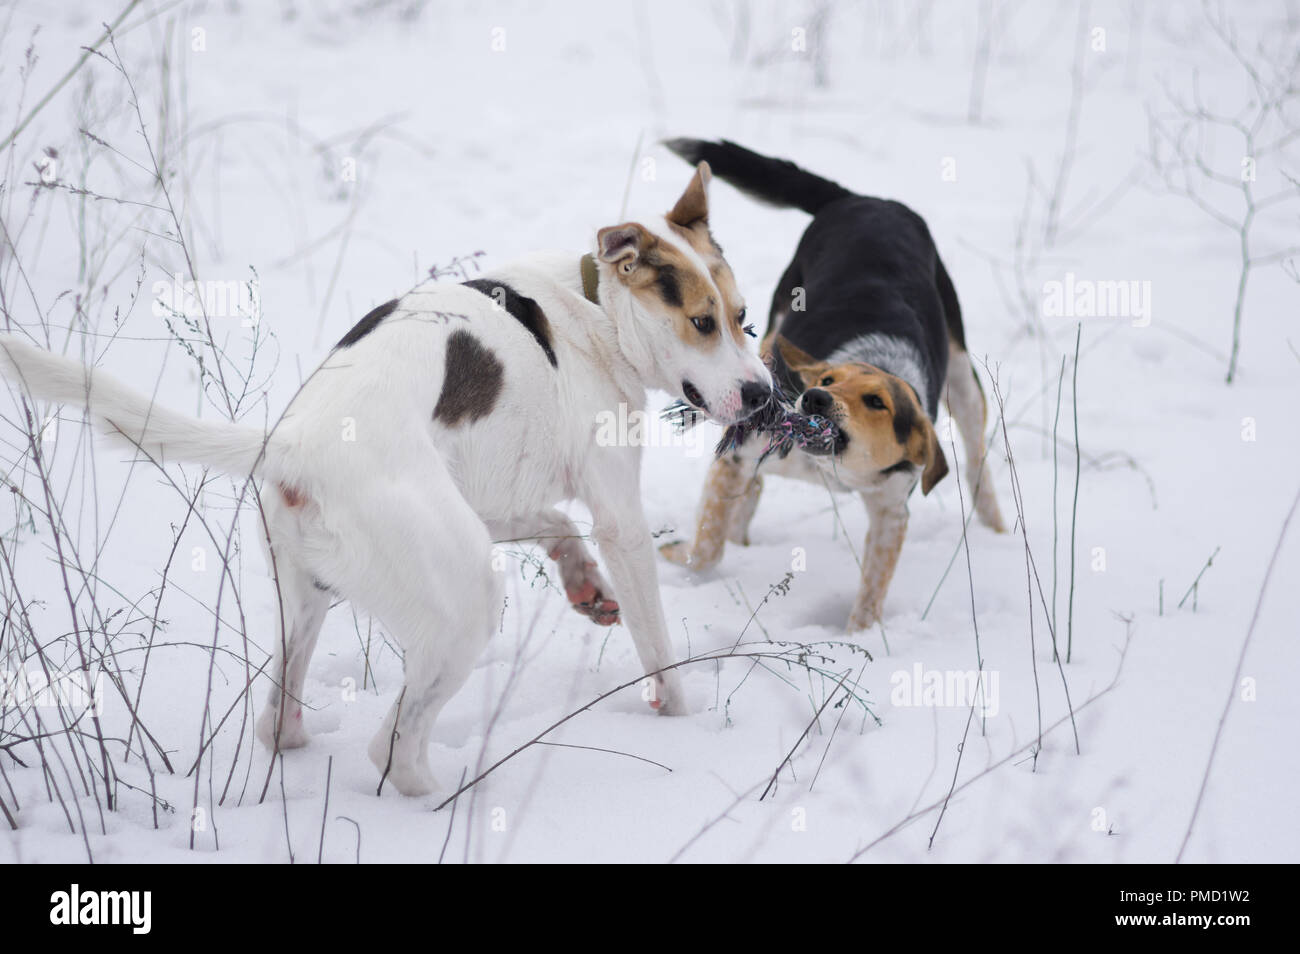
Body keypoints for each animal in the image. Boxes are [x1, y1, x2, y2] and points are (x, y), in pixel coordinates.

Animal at [0, 160, 769, 795]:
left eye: (744, 319)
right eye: (702, 322)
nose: (764, 395)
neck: (598, 309)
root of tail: (295, 446)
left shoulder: (488, 498)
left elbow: (554, 521)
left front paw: (581, 580)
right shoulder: (620, 518)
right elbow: (656, 642)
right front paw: (680, 718)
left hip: (310, 597)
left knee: (279, 720)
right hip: (465, 604)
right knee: (391, 749)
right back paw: (440, 797)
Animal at [660, 140, 1003, 634]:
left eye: (876, 402)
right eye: (827, 380)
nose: (815, 398)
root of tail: (867, 200)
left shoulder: (891, 509)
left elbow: (873, 591)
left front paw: (860, 635)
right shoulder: (744, 451)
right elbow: (707, 546)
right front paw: (685, 561)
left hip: (963, 377)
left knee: (978, 462)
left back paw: (998, 531)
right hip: (775, 323)